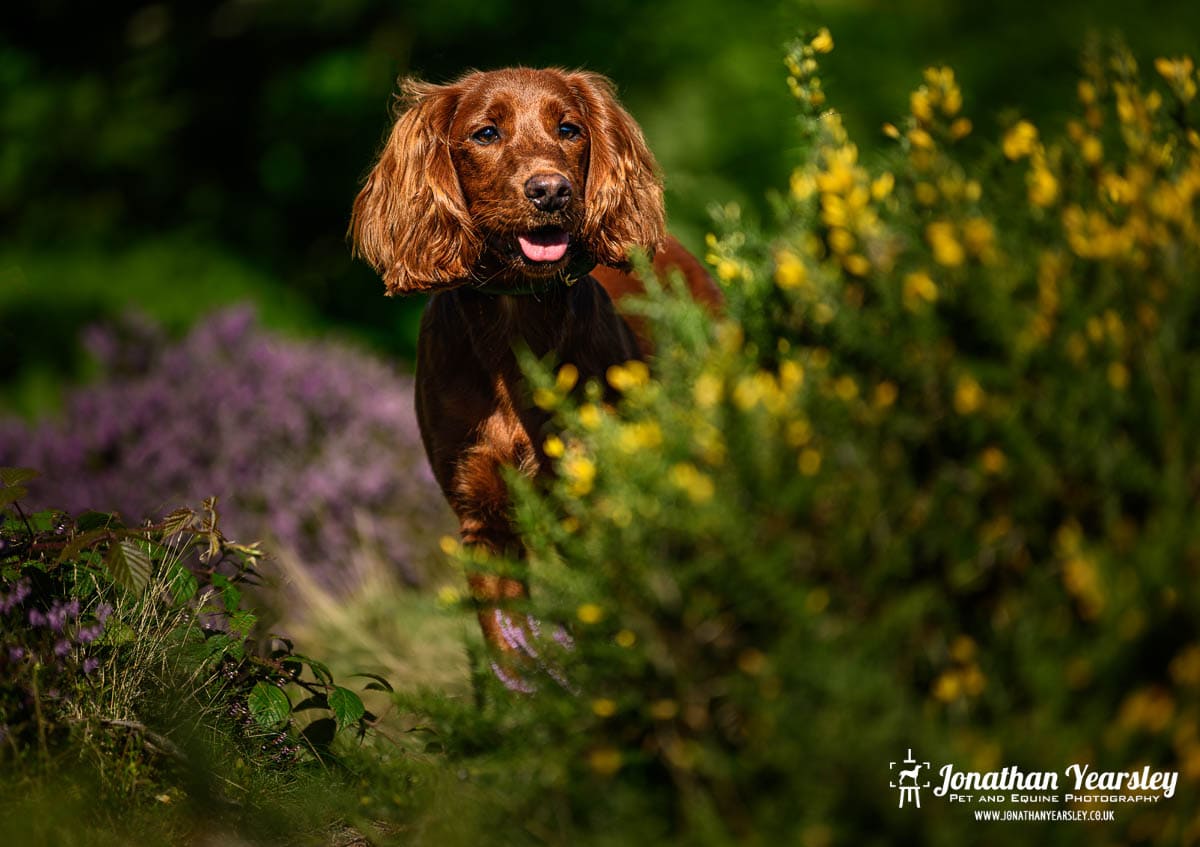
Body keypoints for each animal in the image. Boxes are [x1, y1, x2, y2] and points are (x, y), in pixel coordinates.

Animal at [350, 67, 715, 671]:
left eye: (568, 128)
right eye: (486, 133)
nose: (550, 190)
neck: (515, 326)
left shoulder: (596, 504)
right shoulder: (485, 521)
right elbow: (511, 650)